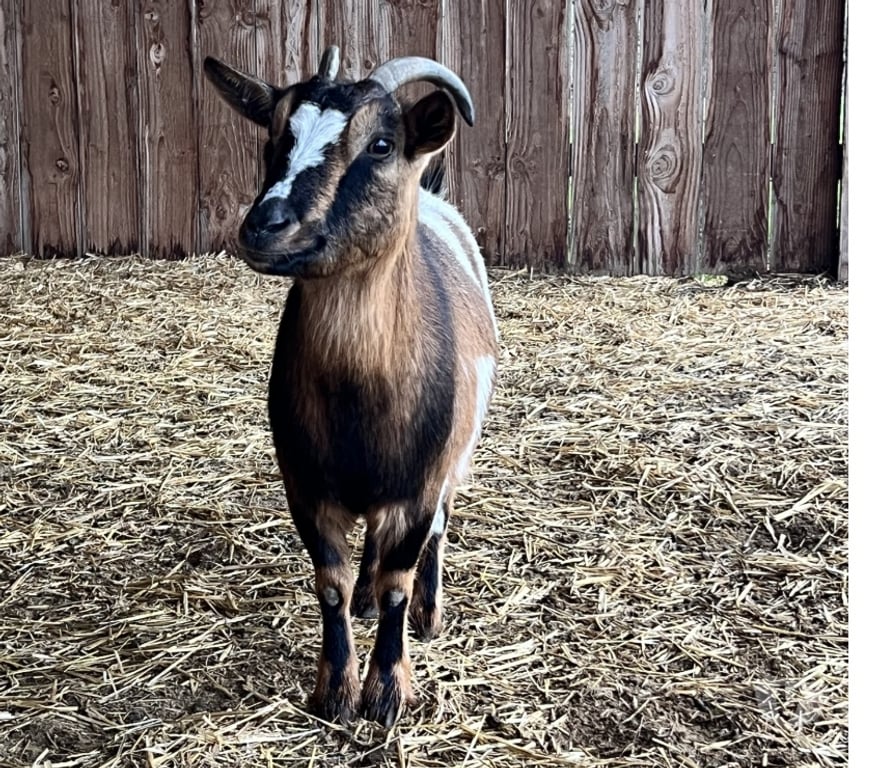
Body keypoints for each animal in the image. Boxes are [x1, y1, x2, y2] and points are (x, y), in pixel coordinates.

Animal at [204, 46, 498, 727]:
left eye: (381, 143)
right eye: (272, 136)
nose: (266, 225)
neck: (360, 399)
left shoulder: (418, 485)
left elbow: (399, 580)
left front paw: (386, 692)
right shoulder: (307, 487)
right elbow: (330, 585)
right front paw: (335, 690)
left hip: (454, 457)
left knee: (440, 528)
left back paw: (429, 612)